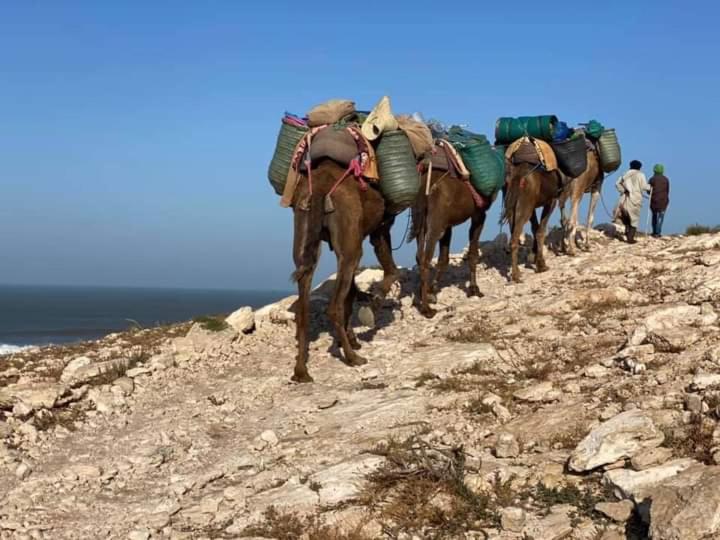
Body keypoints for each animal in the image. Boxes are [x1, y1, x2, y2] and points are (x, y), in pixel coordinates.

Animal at [290, 158, 400, 382]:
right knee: (334, 307)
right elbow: (391, 269)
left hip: (304, 225)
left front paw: (353, 338)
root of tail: (321, 186)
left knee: (303, 304)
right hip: (349, 234)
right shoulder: (381, 226)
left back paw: (301, 371)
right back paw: (352, 358)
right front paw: (375, 300)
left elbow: (351, 293)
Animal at [410, 169, 490, 318]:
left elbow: (444, 258)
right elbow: (473, 253)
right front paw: (474, 289)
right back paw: (427, 310)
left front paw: (431, 291)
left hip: (420, 221)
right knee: (425, 259)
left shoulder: (448, 224)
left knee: (419, 256)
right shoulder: (479, 212)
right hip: (435, 223)